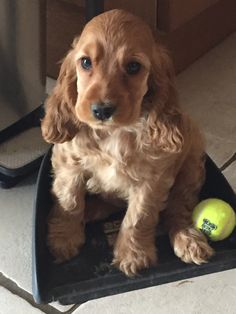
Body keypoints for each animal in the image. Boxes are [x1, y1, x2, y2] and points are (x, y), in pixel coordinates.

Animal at [41, 8, 215, 276]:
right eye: (85, 62)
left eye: (133, 66)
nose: (101, 110)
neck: (114, 133)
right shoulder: (70, 161)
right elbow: (69, 199)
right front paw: (64, 238)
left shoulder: (153, 179)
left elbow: (138, 217)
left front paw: (134, 255)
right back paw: (90, 210)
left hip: (192, 163)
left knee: (179, 207)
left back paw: (188, 239)